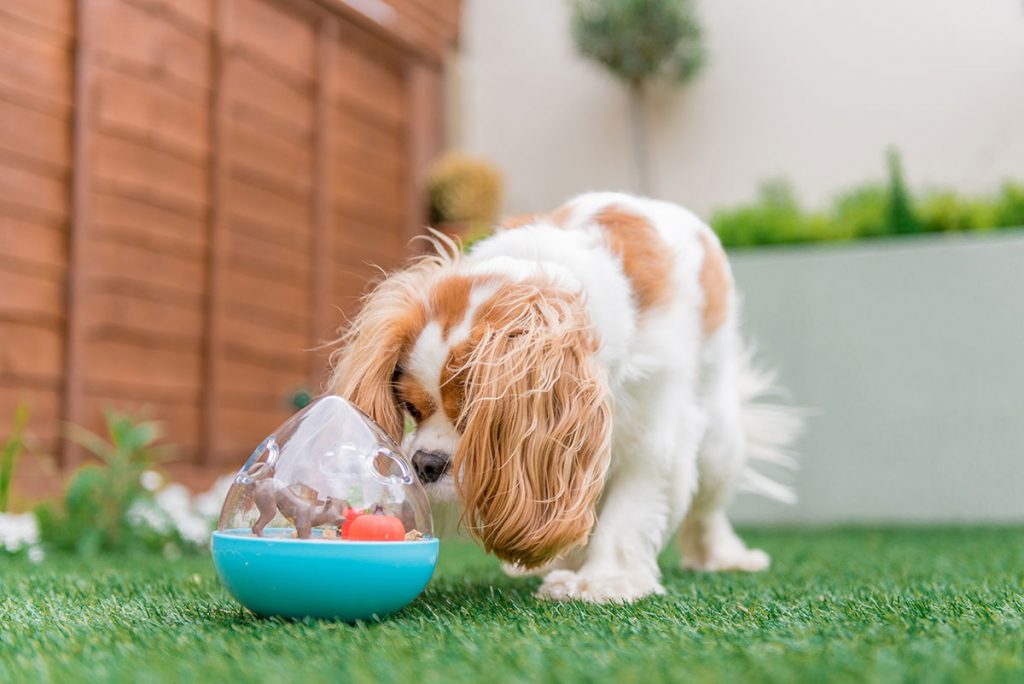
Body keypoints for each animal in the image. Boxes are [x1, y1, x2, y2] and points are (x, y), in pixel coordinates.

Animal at [327, 192, 798, 602]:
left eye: (474, 413)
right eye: (410, 407)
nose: (425, 463)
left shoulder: (654, 430)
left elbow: (632, 508)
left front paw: (606, 580)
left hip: (718, 436)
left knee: (709, 505)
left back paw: (725, 556)